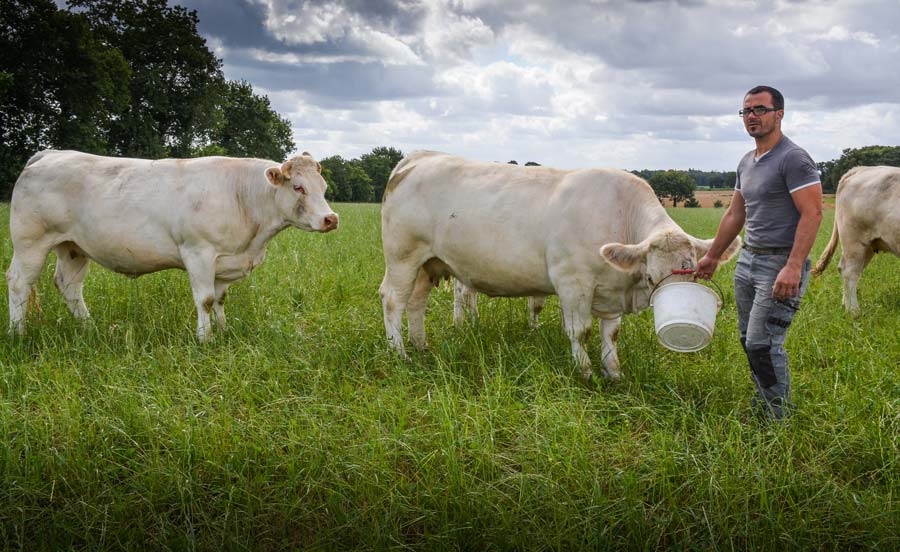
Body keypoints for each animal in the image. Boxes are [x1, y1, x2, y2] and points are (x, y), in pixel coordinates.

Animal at [7, 151, 338, 340]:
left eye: (323, 187)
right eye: (298, 187)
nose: (331, 218)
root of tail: (49, 154)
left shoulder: (225, 260)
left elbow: (220, 299)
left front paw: (223, 331)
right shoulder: (199, 251)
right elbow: (205, 300)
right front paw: (205, 339)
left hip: (73, 247)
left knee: (69, 286)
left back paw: (90, 329)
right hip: (30, 241)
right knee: (19, 282)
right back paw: (17, 334)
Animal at [380, 153, 740, 382]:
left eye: (692, 273)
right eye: (651, 277)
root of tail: (418, 157)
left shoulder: (610, 289)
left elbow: (612, 334)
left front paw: (614, 372)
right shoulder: (573, 283)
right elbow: (580, 331)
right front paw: (585, 371)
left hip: (428, 263)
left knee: (416, 302)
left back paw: (421, 344)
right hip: (402, 256)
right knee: (393, 300)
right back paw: (400, 353)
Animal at [812, 164, 896, 312]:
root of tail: (861, 169)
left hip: (868, 244)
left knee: (849, 270)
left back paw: (845, 305)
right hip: (854, 240)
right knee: (849, 271)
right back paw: (853, 311)